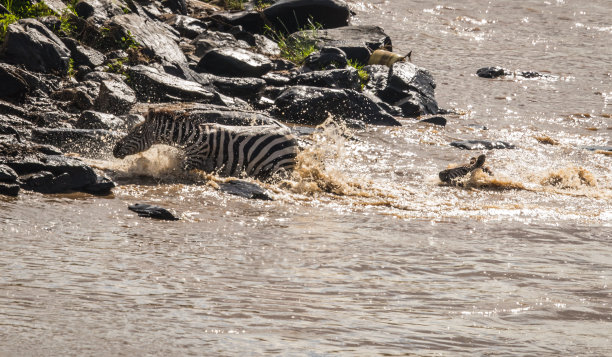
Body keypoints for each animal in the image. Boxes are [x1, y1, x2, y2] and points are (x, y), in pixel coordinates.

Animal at [113, 108, 300, 179]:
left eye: (136, 133)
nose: (115, 149)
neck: (189, 137)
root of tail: (289, 133)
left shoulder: (193, 160)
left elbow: (172, 172)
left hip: (280, 167)